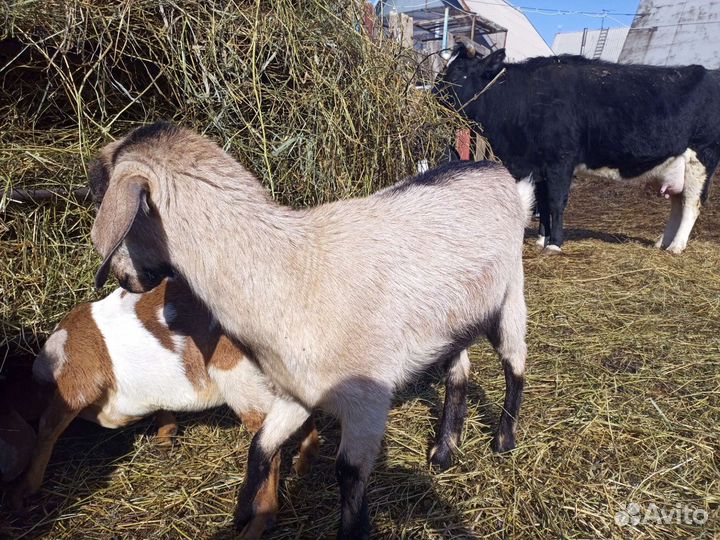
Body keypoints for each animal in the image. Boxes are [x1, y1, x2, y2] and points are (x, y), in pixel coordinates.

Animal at [6, 278, 319, 535]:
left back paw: (254, 527)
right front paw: (165, 439)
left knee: (267, 443)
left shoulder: (75, 382)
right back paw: (304, 464)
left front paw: (22, 494)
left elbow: (47, 430)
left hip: (241, 379)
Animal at [89, 123, 533, 539]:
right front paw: (246, 513)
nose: (124, 279)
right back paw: (443, 452)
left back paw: (503, 441)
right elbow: (261, 445)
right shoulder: (297, 390)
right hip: (452, 318)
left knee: (515, 365)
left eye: (102, 193)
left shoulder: (368, 400)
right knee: (459, 371)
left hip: (510, 292)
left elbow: (348, 474)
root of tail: (495, 169)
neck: (294, 270)